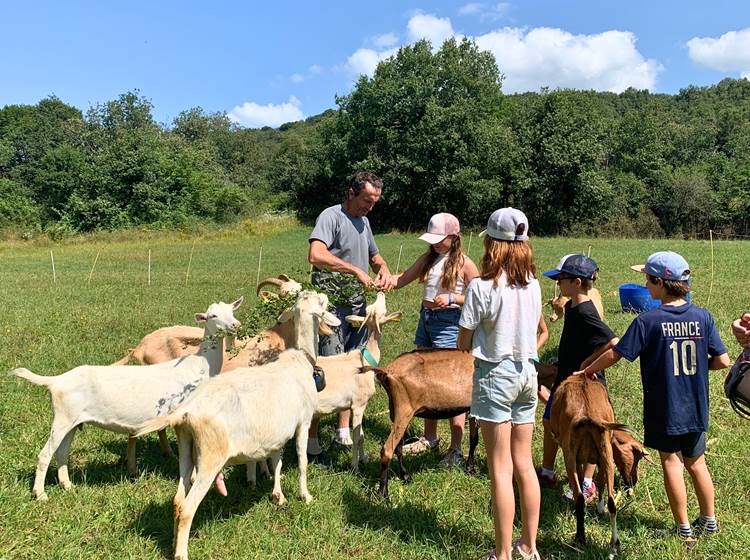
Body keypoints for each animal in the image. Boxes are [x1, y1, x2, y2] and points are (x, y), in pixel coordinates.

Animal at [14, 296, 242, 500]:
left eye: (232, 310)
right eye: (212, 315)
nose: (235, 325)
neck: (201, 365)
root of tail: (56, 381)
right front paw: (193, 478)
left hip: (72, 421)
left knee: (61, 452)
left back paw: (67, 486)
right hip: (63, 417)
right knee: (45, 454)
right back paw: (40, 494)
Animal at [135, 290, 340, 556]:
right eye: (321, 302)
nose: (324, 295)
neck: (301, 360)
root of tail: (186, 412)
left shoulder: (277, 431)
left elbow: (277, 461)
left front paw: (278, 496)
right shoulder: (303, 422)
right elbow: (302, 461)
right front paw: (305, 496)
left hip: (186, 447)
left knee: (178, 501)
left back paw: (172, 544)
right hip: (211, 456)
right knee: (188, 507)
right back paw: (181, 553)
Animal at [548, 374, 624, 556]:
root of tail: (587, 415)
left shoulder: (576, 458)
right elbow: (601, 482)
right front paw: (600, 509)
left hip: (570, 455)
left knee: (580, 498)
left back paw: (580, 539)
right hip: (606, 452)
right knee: (612, 501)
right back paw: (614, 544)